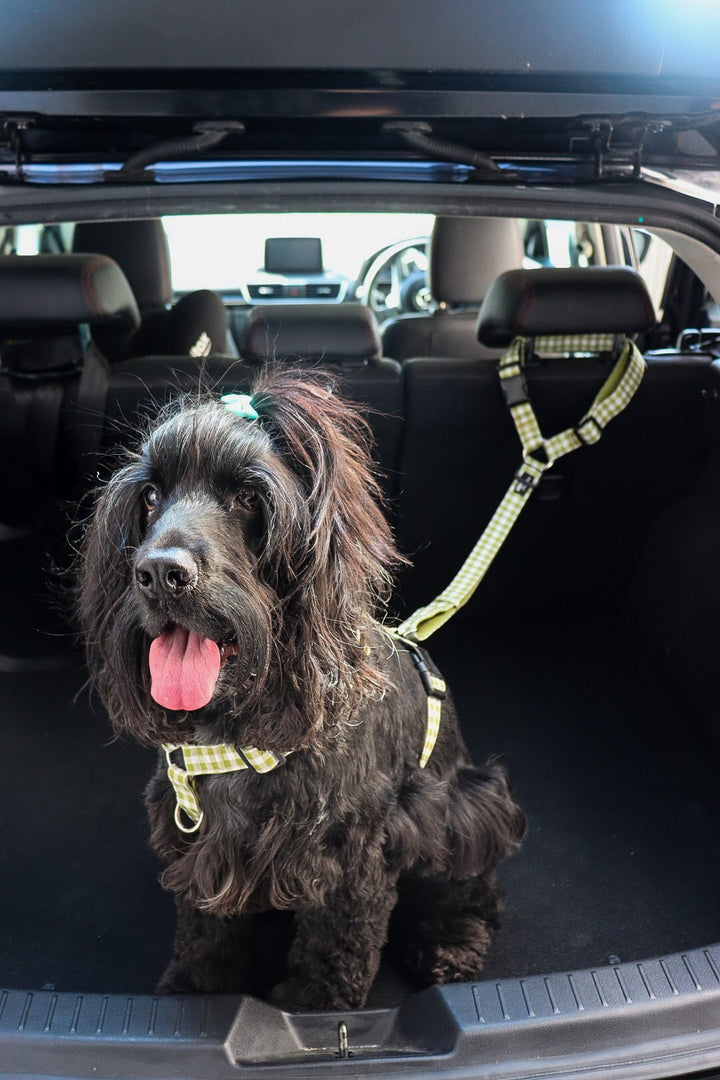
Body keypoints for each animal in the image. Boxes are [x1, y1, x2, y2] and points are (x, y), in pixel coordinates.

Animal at [77, 369, 524, 1010]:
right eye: (152, 497)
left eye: (248, 497)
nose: (159, 572)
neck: (236, 728)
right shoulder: (202, 839)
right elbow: (205, 927)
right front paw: (197, 987)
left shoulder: (351, 854)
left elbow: (337, 946)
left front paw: (311, 1006)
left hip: (465, 807)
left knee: (471, 887)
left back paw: (450, 942)